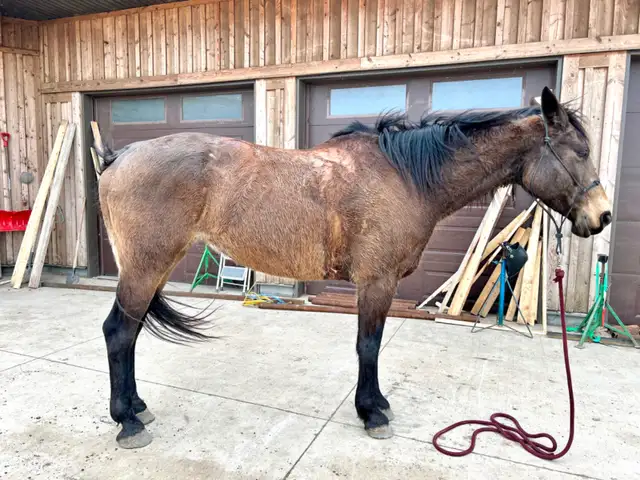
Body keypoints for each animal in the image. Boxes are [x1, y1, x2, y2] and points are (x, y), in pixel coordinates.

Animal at [96, 86, 612, 449]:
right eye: (581, 152)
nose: (603, 216)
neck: (405, 176)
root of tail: (118, 158)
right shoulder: (376, 282)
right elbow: (369, 346)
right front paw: (373, 413)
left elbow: (371, 346)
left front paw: (376, 404)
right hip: (146, 267)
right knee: (119, 332)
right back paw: (127, 421)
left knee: (132, 332)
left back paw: (138, 407)